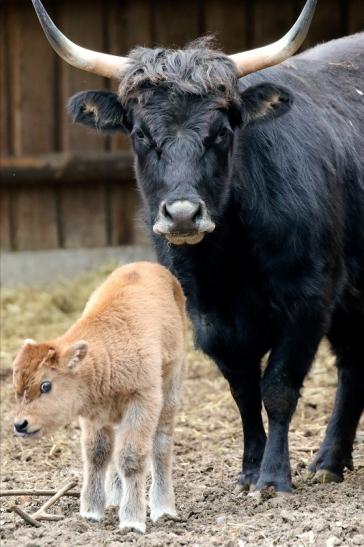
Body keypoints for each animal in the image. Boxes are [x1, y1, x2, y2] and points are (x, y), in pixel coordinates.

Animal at [12, 264, 186, 532]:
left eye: (45, 385)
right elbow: (97, 454)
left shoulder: (143, 400)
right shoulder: (94, 415)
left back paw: (163, 508)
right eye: (17, 387)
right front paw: (91, 512)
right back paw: (114, 499)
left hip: (170, 388)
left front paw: (132, 521)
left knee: (161, 444)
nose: (20, 424)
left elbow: (131, 457)